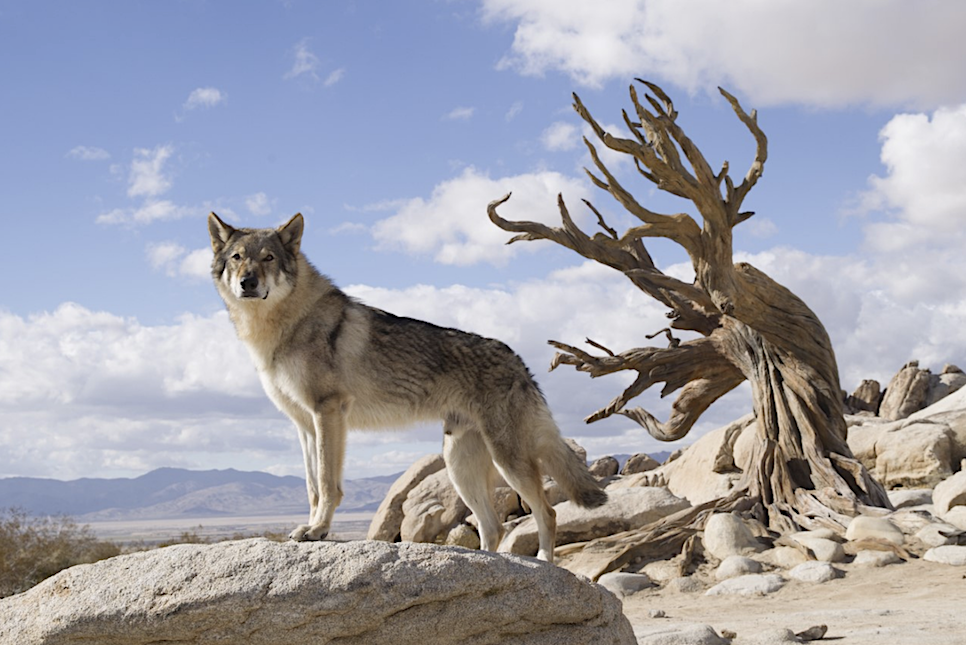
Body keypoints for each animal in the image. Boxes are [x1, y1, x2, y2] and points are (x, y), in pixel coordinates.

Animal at [208, 214, 608, 560]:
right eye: (238, 258)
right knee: (492, 527)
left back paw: (543, 563)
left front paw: (318, 530)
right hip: (459, 465)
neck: (281, 326)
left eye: (269, 258)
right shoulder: (304, 425)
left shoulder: (328, 412)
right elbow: (311, 487)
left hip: (506, 460)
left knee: (546, 513)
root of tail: (519, 360)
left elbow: (326, 483)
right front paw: (309, 527)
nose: (247, 282)